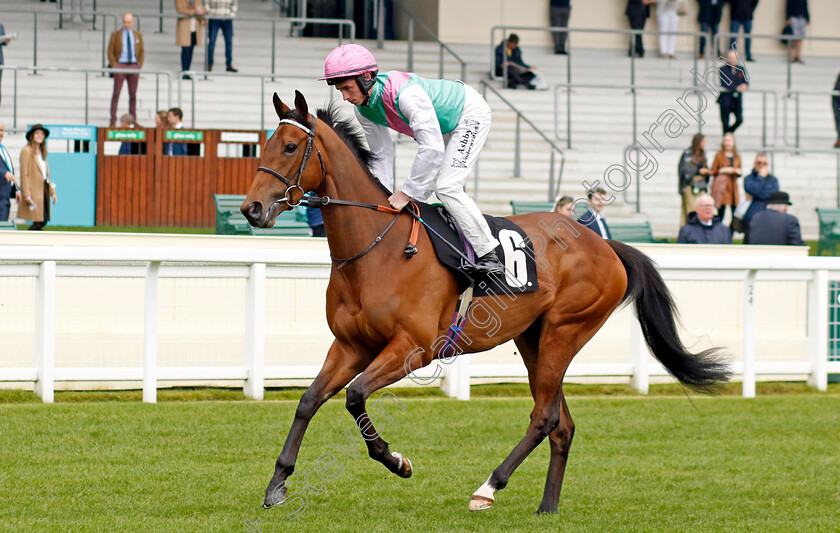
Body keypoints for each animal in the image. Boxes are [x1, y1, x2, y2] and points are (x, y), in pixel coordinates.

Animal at [241, 90, 728, 512]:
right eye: (262, 146)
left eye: (289, 147)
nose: (251, 209)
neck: (376, 250)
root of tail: (606, 244)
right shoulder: (350, 345)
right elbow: (309, 401)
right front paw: (277, 484)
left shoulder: (413, 348)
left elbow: (356, 396)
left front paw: (397, 461)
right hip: (534, 339)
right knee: (562, 424)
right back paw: (547, 507)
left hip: (565, 331)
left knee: (544, 417)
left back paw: (489, 487)